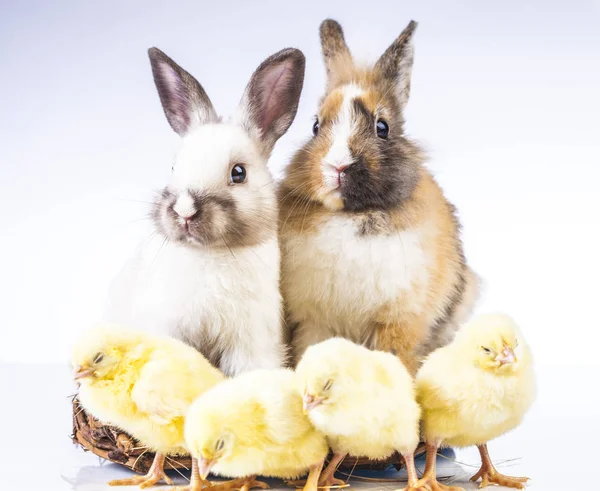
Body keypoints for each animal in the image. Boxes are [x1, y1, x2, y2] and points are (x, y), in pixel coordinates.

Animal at [278, 19, 480, 372]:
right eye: (315, 127)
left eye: (382, 127)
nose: (338, 166)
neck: (350, 215)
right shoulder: (313, 322)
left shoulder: (399, 323)